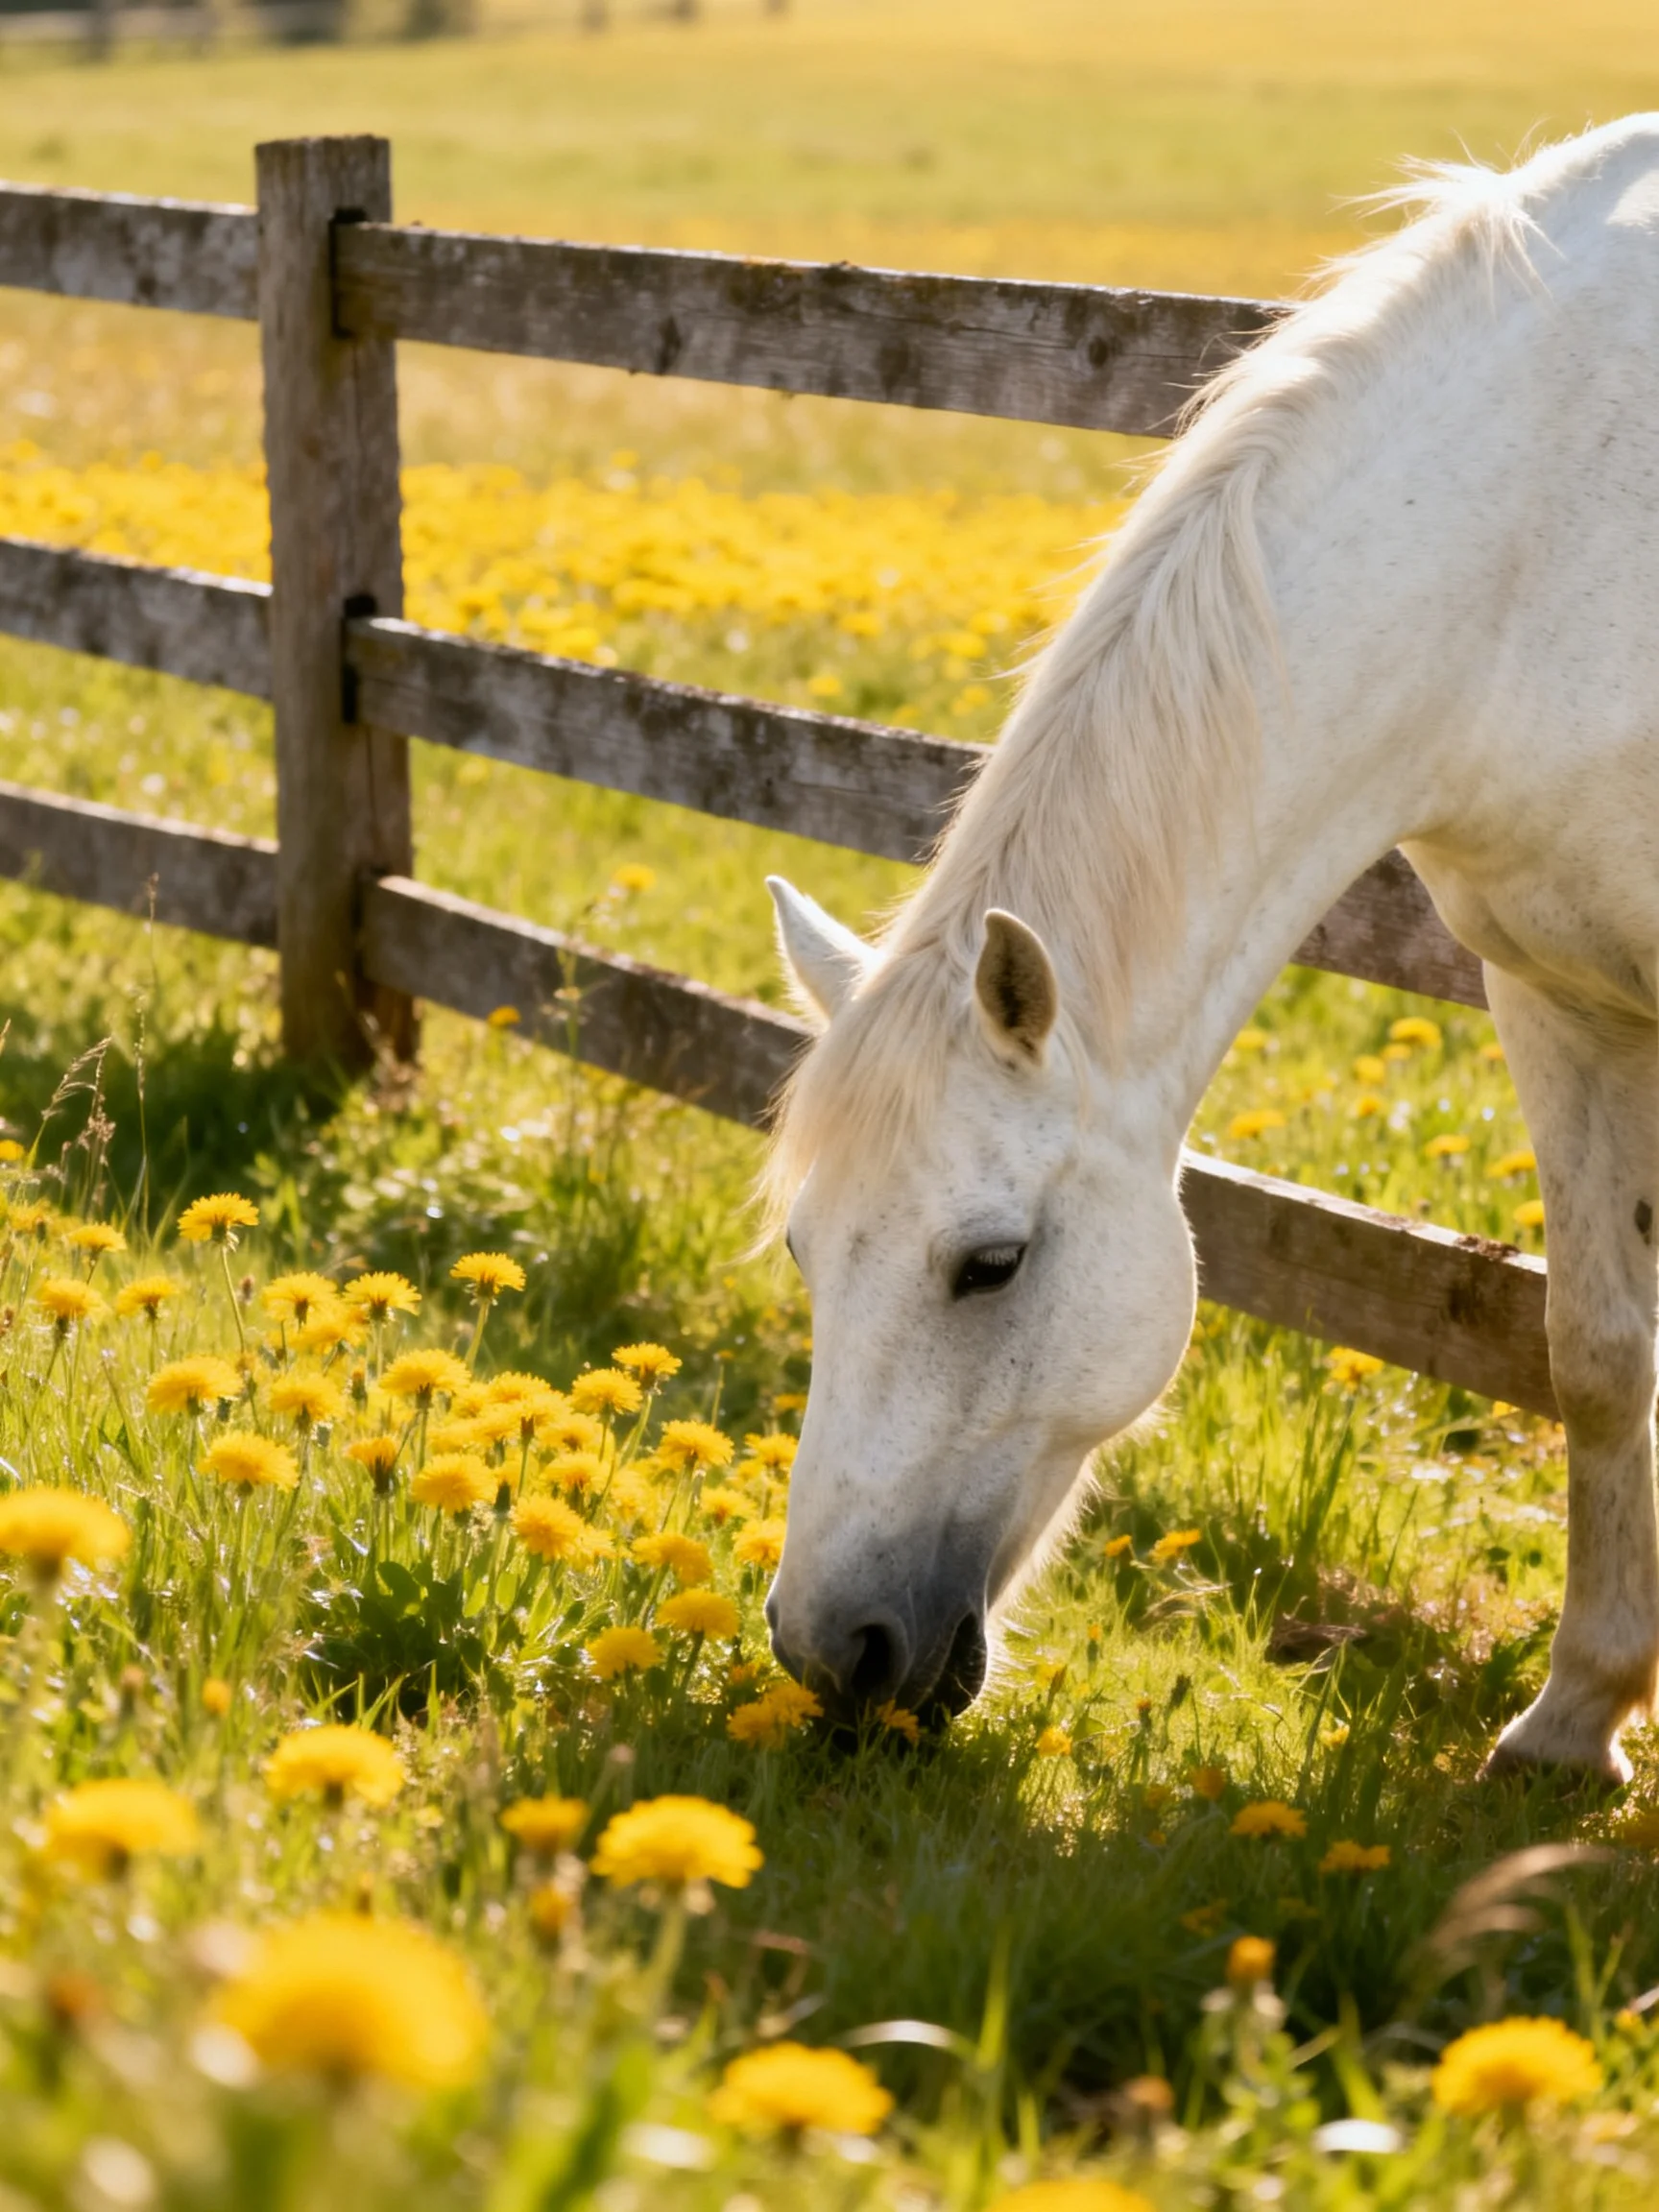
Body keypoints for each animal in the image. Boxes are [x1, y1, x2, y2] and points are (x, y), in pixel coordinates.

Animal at [761, 113, 1659, 1783]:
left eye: (990, 1266)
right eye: (804, 1249)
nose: (827, 1651)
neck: (1566, 514)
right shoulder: (1555, 996)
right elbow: (1598, 1353)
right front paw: (1575, 1722)